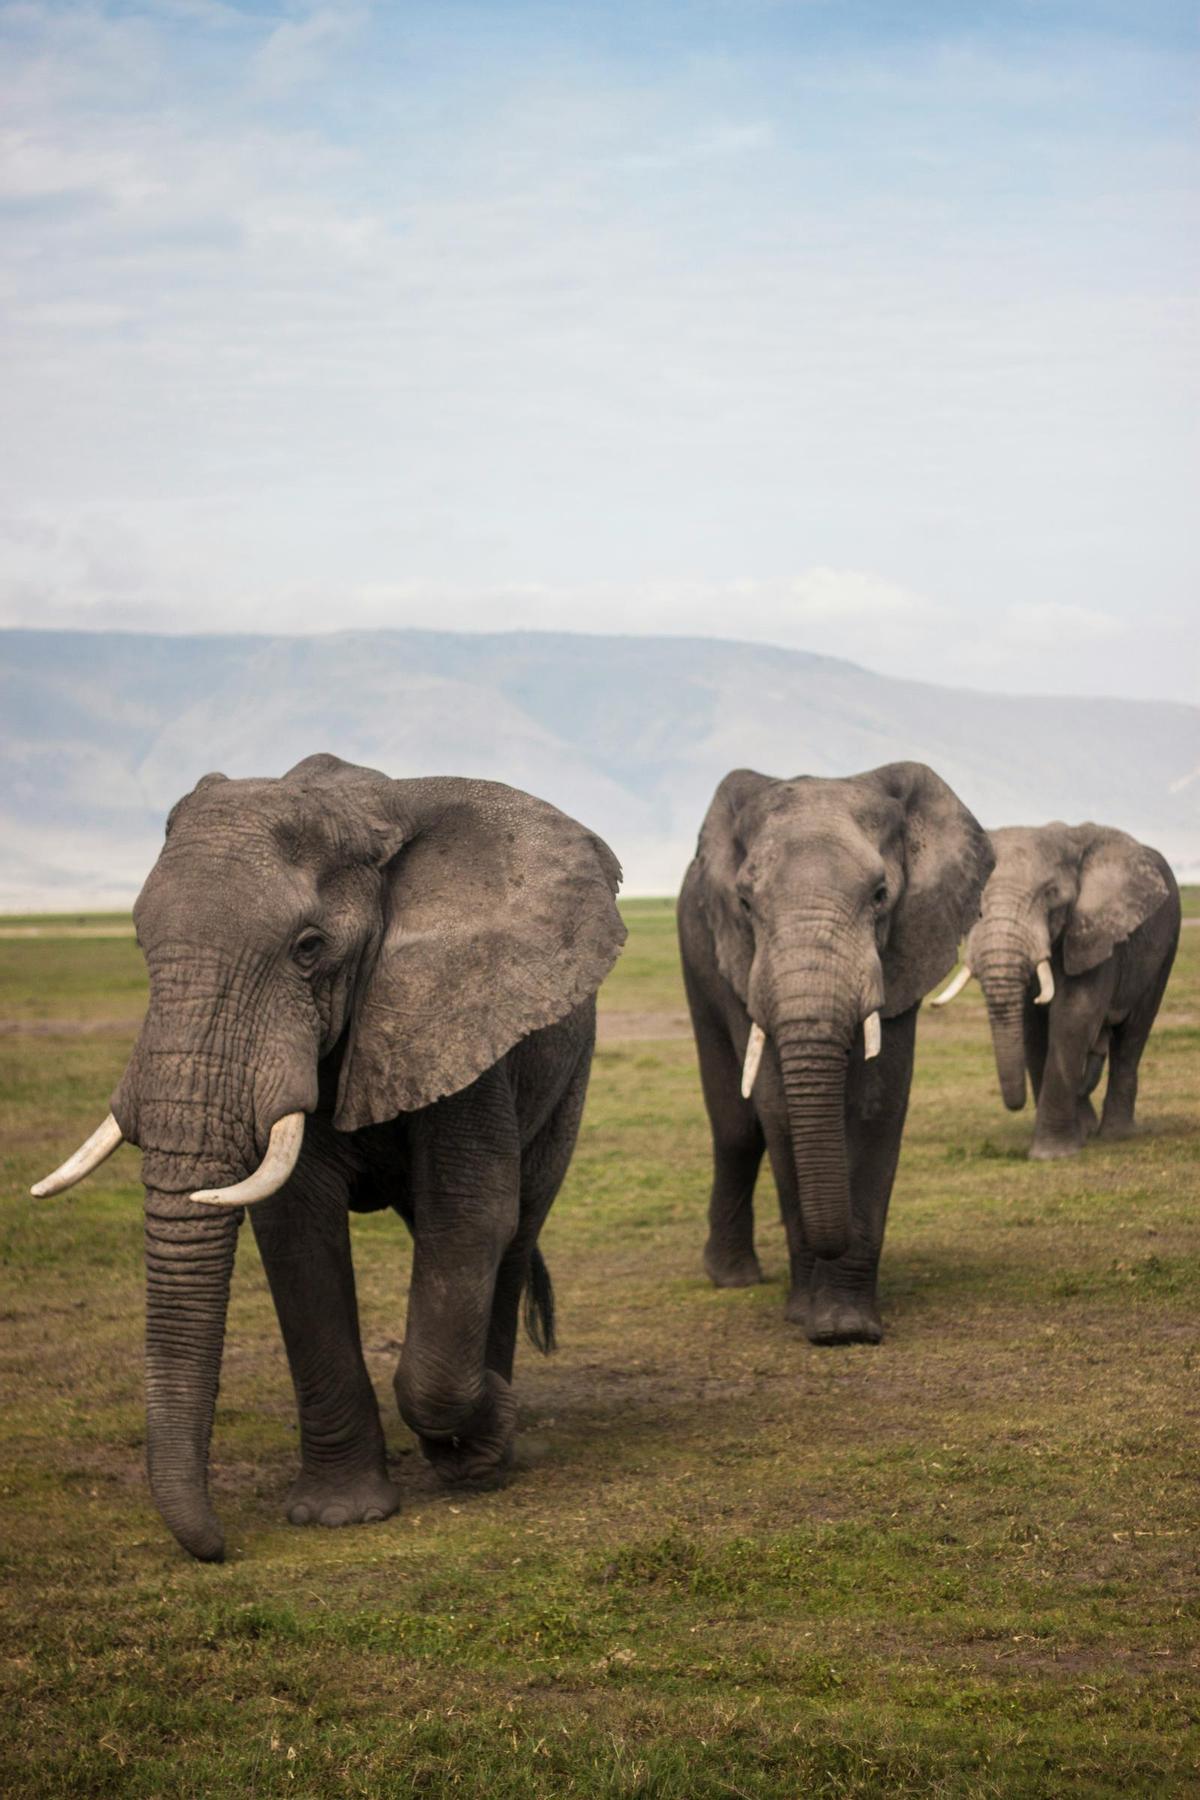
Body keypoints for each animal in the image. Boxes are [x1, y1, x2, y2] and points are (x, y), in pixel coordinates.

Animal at [32, 753, 625, 1562]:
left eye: (309, 948)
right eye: (139, 943)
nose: (218, 1547)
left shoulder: (459, 1010)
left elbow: (470, 1215)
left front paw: (483, 1434)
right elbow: (296, 1230)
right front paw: (338, 1516)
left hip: (570, 1073)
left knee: (515, 1227)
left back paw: (486, 1450)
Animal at [678, 761, 993, 1345]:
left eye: (880, 894)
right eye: (745, 904)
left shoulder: (905, 948)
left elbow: (876, 1105)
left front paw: (846, 1328)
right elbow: (778, 1109)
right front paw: (809, 1318)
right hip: (696, 953)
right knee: (736, 1127)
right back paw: (732, 1278)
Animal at [931, 822, 1180, 1159]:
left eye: (1051, 895)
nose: (1015, 1104)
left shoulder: (1095, 932)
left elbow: (1074, 1015)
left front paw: (1051, 1155)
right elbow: (1033, 1029)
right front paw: (1074, 1138)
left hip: (1166, 946)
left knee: (1133, 1035)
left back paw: (1116, 1134)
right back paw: (1089, 1128)